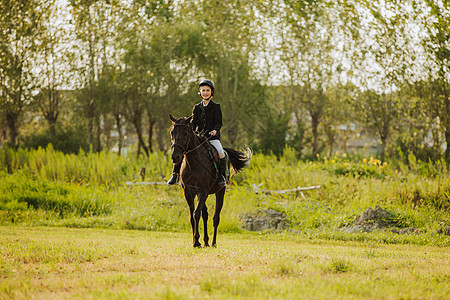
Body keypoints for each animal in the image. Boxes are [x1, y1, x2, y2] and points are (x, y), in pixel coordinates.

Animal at [170, 113, 251, 247]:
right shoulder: (189, 192)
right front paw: (195, 241)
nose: (175, 157)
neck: (193, 163)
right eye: (172, 132)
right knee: (206, 214)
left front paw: (196, 240)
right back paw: (206, 241)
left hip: (220, 192)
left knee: (215, 217)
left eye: (185, 133)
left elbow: (196, 214)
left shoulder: (203, 191)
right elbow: (193, 216)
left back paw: (213, 242)